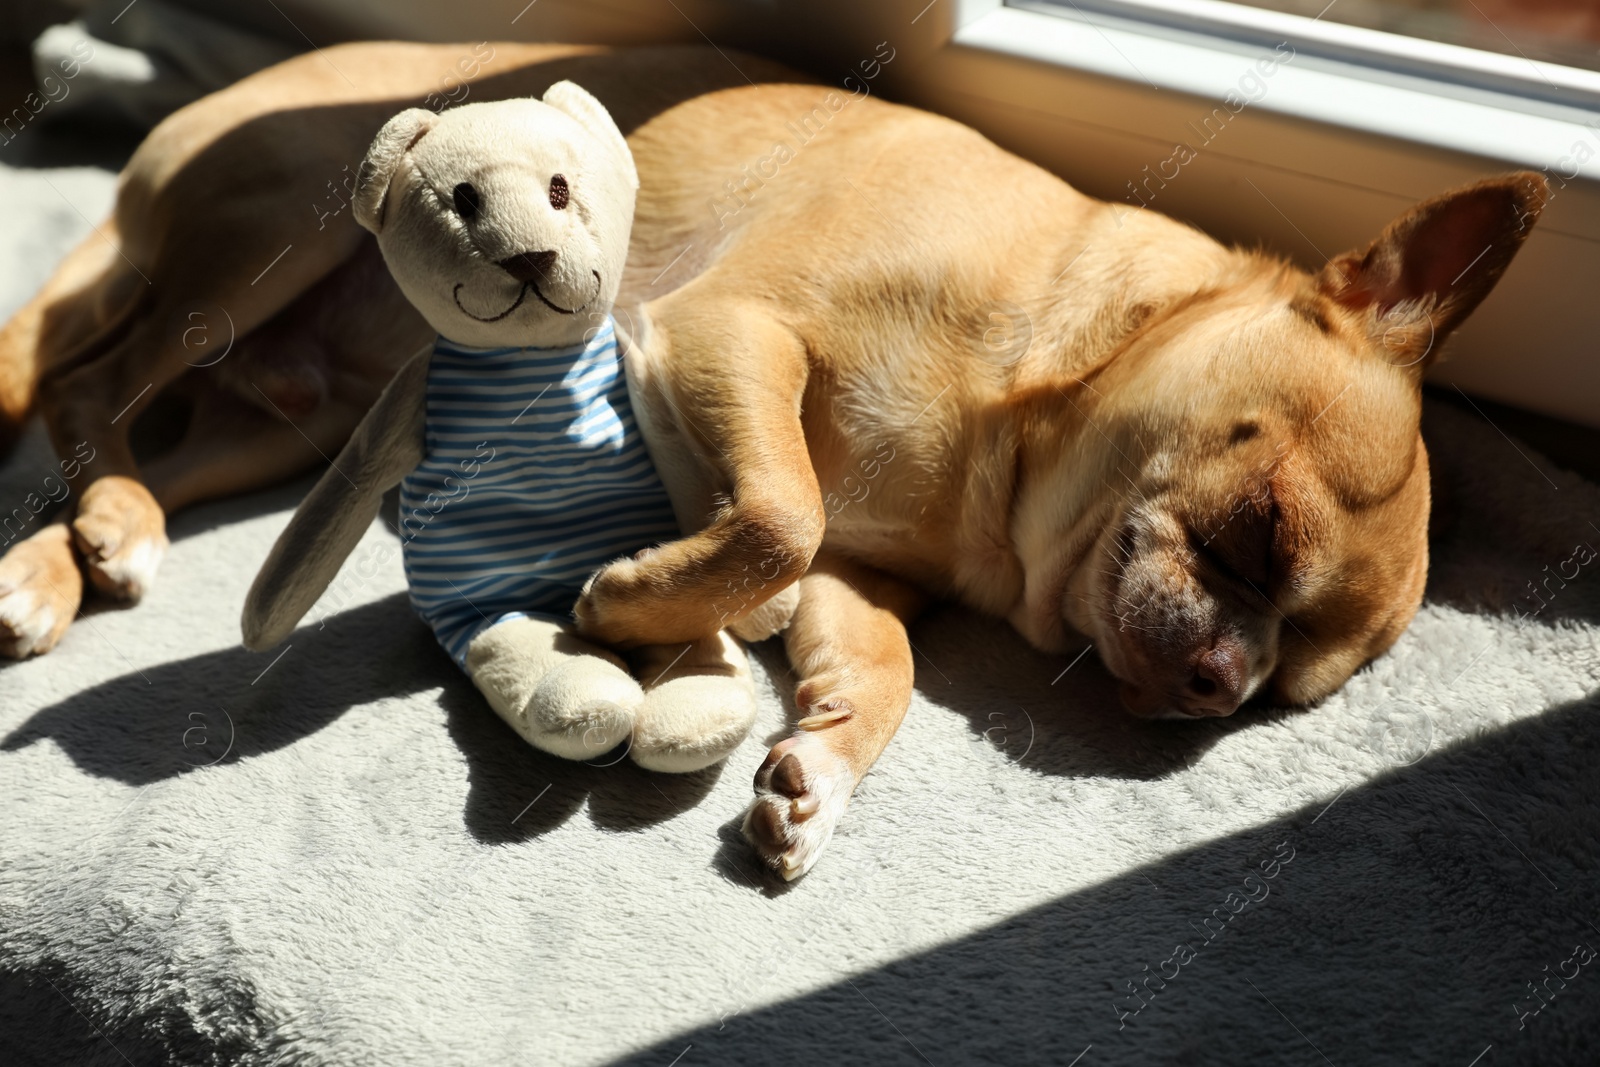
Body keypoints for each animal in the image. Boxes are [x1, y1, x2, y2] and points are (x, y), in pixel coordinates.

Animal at [0, 41, 1548, 876]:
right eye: (1258, 530)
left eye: (1283, 695)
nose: (1218, 684)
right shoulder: (726, 331)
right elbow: (783, 510)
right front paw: (629, 602)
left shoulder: (867, 583)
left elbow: (880, 653)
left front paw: (820, 768)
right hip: (269, 234)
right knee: (82, 379)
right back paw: (100, 522)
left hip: (290, 416)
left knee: (142, 427)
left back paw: (71, 557)